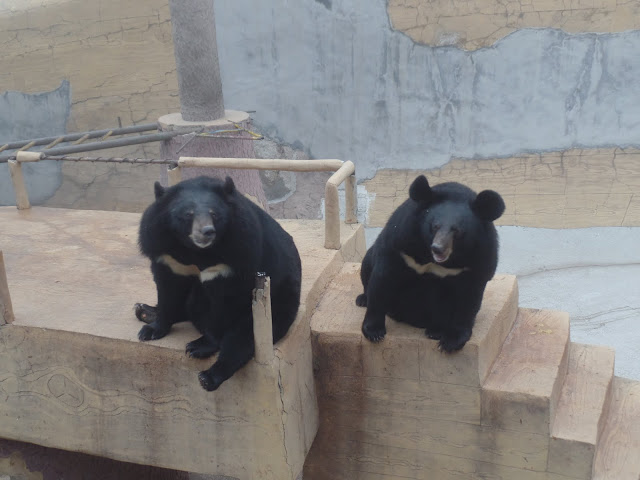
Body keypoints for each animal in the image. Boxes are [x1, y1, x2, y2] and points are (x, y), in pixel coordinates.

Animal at [134, 175, 302, 390]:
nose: (207, 232)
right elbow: (167, 290)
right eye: (187, 214)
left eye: (214, 214)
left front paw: (198, 347)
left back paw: (208, 376)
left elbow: (224, 304)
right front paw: (152, 330)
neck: (195, 250)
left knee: (241, 340)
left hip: (273, 307)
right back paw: (144, 310)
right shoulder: (165, 251)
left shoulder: (235, 254)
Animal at [356, 174, 504, 350]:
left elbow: (469, 299)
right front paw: (374, 332)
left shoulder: (479, 259)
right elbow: (382, 280)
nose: (438, 248)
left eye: (457, 231)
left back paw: (435, 331)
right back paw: (363, 299)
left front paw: (451, 342)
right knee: (366, 266)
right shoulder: (400, 241)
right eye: (435, 226)